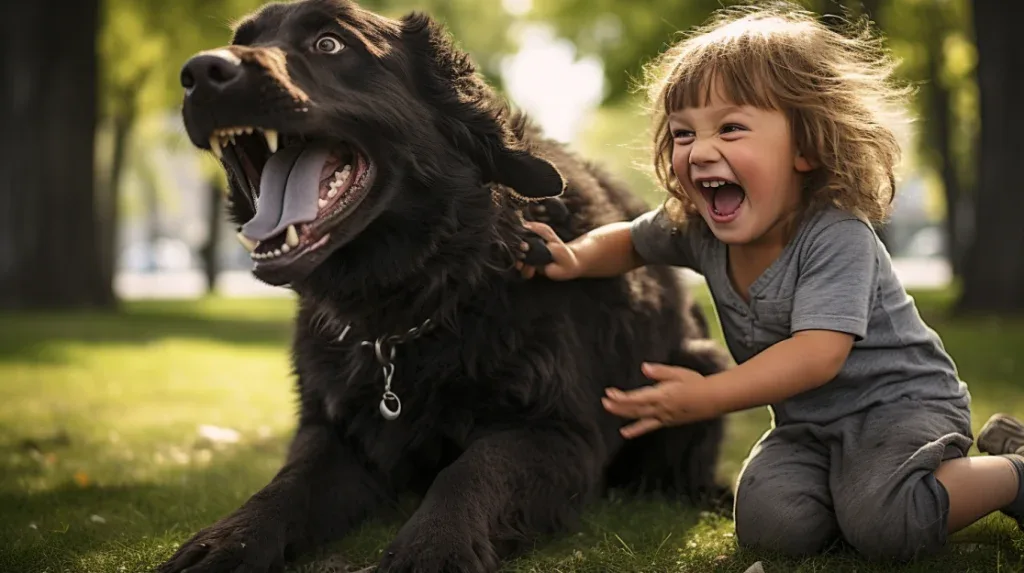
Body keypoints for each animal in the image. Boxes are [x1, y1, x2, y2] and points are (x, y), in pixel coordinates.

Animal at [165, 2, 729, 568]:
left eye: (329, 43)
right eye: (242, 39)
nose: (199, 73)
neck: (412, 310)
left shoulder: (560, 434)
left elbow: (471, 470)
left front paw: (434, 545)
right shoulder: (338, 432)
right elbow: (287, 485)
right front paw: (229, 540)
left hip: (699, 366)